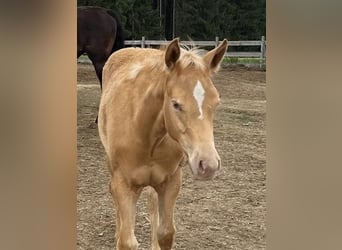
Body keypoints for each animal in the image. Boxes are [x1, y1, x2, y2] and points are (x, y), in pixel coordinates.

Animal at [97, 37, 228, 250]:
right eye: (175, 104)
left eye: (216, 102)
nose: (208, 165)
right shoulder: (123, 183)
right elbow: (127, 241)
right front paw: (120, 235)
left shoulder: (171, 181)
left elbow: (166, 233)